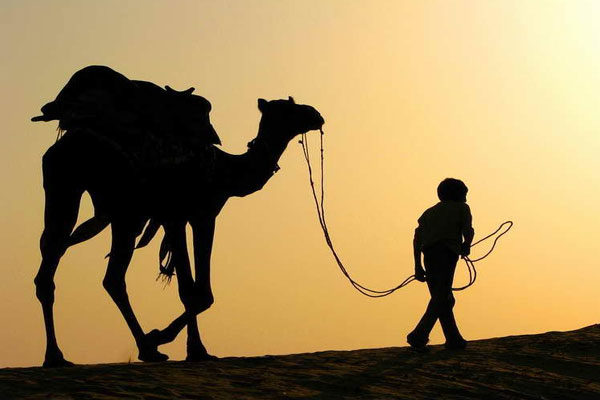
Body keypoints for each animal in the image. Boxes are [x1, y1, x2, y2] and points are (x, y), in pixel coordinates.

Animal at [34, 95, 324, 368]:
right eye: (289, 108)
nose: (317, 114)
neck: (224, 171)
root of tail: (59, 145)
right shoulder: (183, 215)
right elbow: (195, 291)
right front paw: (170, 340)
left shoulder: (193, 216)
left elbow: (195, 289)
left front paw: (194, 350)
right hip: (84, 191)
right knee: (80, 268)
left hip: (111, 208)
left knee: (90, 270)